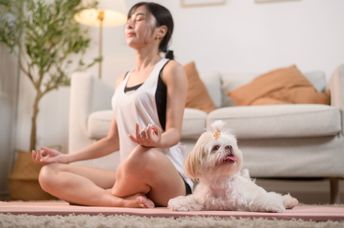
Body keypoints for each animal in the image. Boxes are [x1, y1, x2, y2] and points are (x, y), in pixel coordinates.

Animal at [169, 121, 298, 212]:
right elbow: (191, 200)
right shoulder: (203, 200)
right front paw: (178, 203)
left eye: (232, 144)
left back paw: (289, 201)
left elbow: (260, 200)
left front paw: (273, 206)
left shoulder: (247, 197)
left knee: (277, 196)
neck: (220, 181)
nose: (229, 147)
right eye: (216, 147)